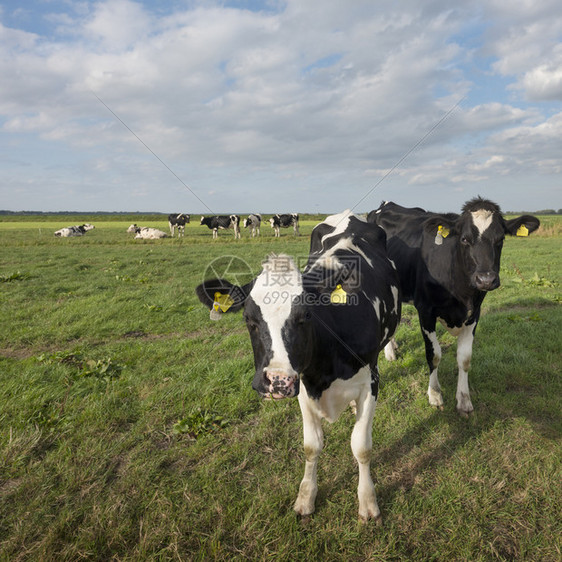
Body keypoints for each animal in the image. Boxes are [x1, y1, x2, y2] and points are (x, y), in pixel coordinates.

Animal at [195, 211, 400, 520]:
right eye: (248, 319)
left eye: (306, 314)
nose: (277, 381)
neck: (325, 371)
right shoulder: (303, 384)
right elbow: (311, 446)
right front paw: (306, 497)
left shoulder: (370, 382)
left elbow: (361, 446)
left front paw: (367, 501)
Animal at [366, 195, 540, 414]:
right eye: (464, 239)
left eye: (501, 239)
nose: (486, 279)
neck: (461, 293)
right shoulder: (426, 312)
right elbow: (434, 355)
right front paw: (435, 395)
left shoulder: (474, 313)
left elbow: (464, 357)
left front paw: (464, 399)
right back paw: (389, 352)